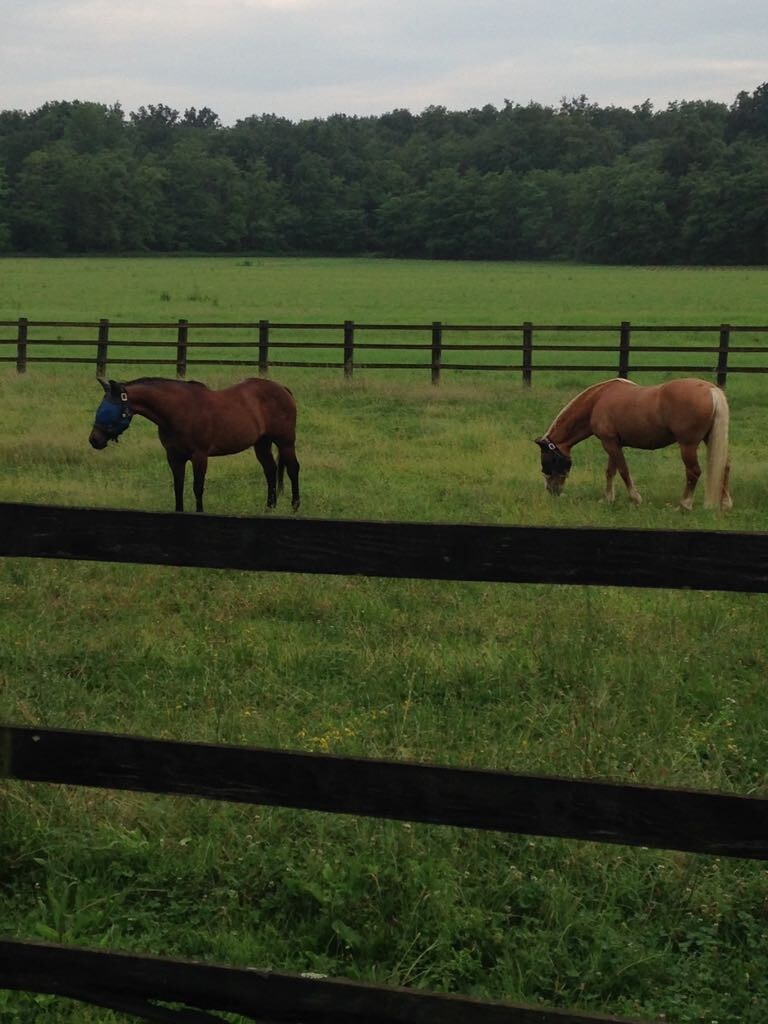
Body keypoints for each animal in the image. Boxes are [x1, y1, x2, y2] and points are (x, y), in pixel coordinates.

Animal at [91, 376, 303, 512]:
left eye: (109, 408)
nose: (94, 440)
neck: (178, 411)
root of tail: (283, 389)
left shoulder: (199, 456)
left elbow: (197, 487)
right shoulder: (174, 457)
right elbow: (178, 487)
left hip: (285, 442)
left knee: (293, 469)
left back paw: (294, 506)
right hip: (262, 443)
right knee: (270, 470)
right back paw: (269, 507)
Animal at [536, 378, 733, 509]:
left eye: (548, 460)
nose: (552, 491)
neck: (598, 400)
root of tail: (710, 390)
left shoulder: (610, 443)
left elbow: (623, 471)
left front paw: (635, 498)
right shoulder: (614, 444)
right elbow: (611, 471)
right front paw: (607, 498)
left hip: (688, 445)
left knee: (693, 472)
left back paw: (684, 505)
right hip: (709, 440)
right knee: (724, 466)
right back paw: (725, 503)